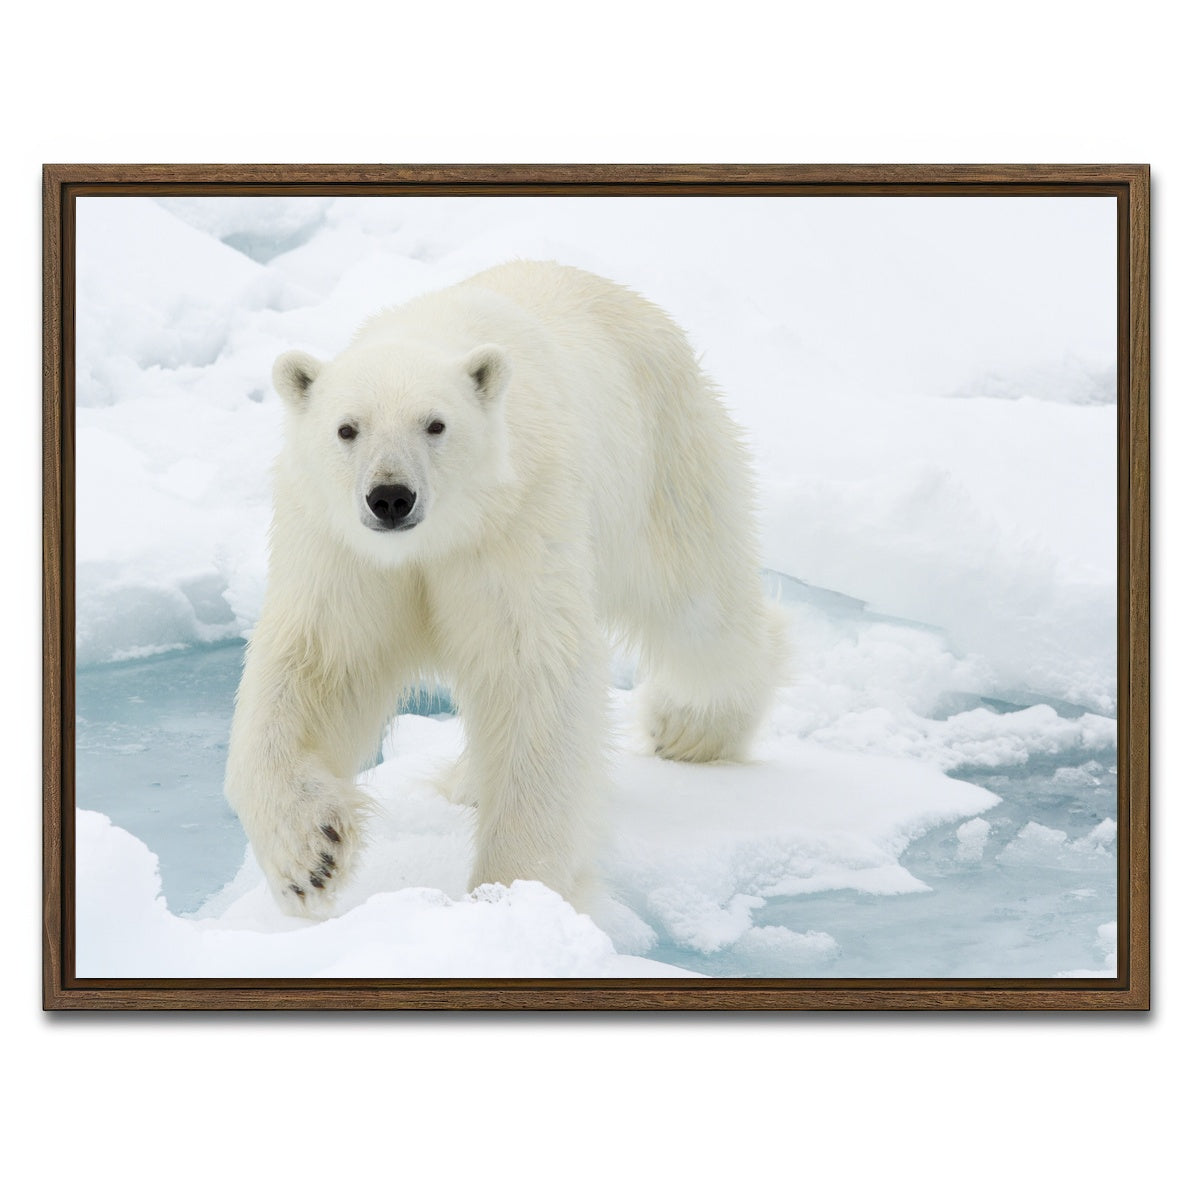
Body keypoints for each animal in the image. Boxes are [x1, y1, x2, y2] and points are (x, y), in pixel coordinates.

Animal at [225, 260, 787, 916]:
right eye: (347, 429)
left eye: (436, 424)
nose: (390, 497)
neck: (435, 539)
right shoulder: (342, 551)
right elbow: (317, 665)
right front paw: (311, 856)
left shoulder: (515, 521)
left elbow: (531, 671)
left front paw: (513, 889)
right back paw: (470, 780)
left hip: (664, 460)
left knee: (699, 610)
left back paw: (689, 728)